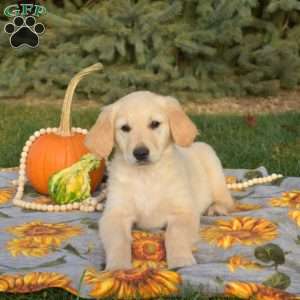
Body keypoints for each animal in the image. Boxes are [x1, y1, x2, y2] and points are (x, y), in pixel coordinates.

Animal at [84, 90, 234, 270]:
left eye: (154, 124)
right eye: (125, 128)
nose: (140, 153)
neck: (147, 176)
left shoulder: (183, 212)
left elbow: (175, 235)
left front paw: (181, 260)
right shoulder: (114, 215)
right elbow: (118, 241)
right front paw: (118, 267)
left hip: (212, 162)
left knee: (226, 198)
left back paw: (216, 207)